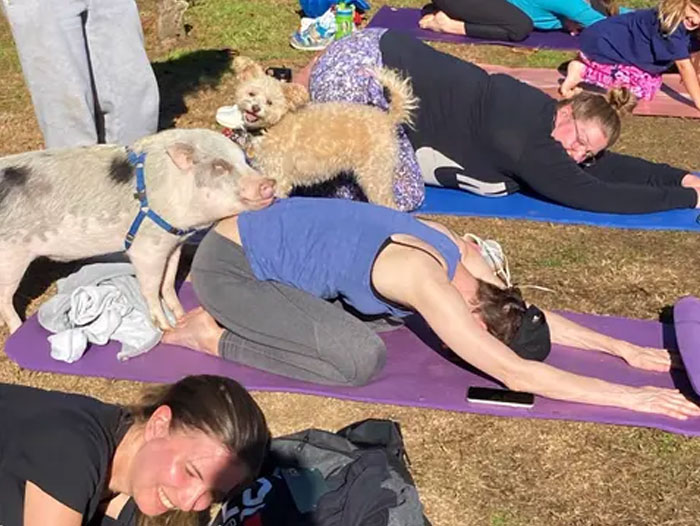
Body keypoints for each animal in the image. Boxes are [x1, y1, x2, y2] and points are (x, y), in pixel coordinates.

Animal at [0, 128, 276, 334]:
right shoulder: (147, 248)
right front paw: (166, 328)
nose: (269, 183)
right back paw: (17, 329)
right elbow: (151, 287)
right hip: (11, 258)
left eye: (246, 160)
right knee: (4, 299)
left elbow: (168, 282)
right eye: (219, 166)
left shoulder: (172, 244)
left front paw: (180, 315)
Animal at [231, 55, 416, 208]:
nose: (255, 108)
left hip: (375, 174)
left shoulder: (278, 177)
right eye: (251, 93)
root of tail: (388, 118)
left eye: (270, 102)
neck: (270, 127)